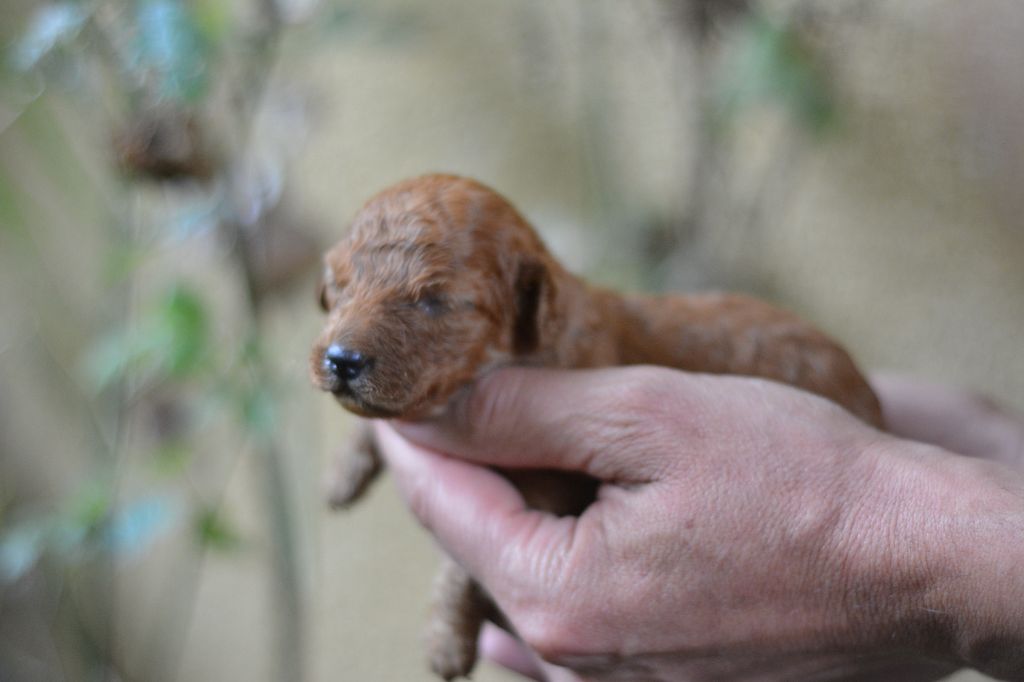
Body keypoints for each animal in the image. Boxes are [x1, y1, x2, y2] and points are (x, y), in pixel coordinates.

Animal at [307, 173, 884, 675]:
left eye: (432, 301)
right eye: (336, 287)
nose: (341, 360)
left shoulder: (551, 484)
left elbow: (462, 563)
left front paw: (445, 640)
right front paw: (343, 472)